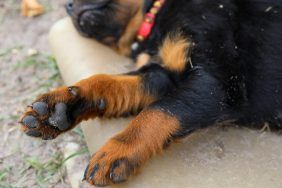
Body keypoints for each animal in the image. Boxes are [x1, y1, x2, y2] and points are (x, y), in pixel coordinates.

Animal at [20, 0, 282, 187]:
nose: (67, 5)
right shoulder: (162, 75)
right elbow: (107, 81)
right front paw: (59, 108)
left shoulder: (221, 83)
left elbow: (158, 111)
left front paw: (119, 149)